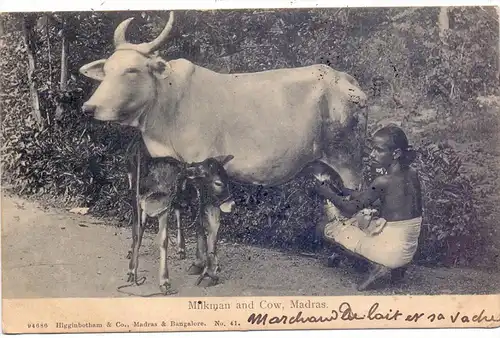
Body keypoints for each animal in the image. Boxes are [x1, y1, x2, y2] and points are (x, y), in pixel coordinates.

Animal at [78, 11, 368, 294]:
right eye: (106, 70)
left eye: (132, 70)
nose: (89, 108)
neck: (171, 102)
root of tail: (346, 80)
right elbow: (197, 219)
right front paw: (197, 264)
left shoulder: (209, 170)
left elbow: (209, 222)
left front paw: (210, 273)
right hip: (323, 170)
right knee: (335, 209)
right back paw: (334, 257)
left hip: (350, 165)